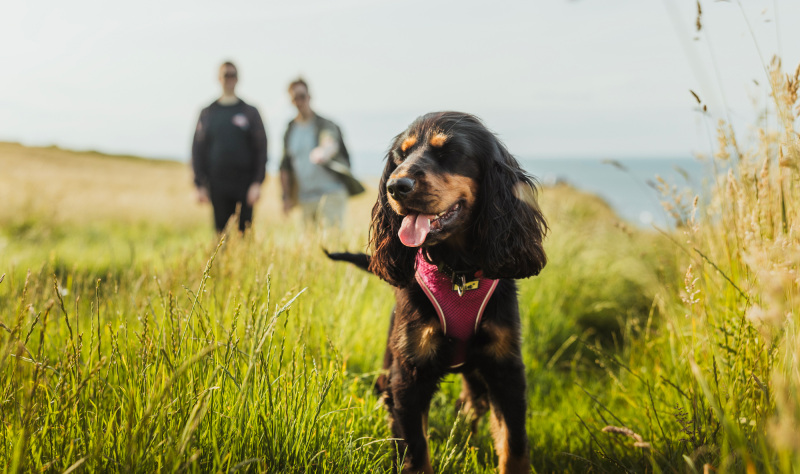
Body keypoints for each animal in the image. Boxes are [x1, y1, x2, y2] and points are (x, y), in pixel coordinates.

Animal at [324, 112, 544, 474]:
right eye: (400, 156)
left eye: (449, 152)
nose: (396, 187)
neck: (458, 276)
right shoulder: (409, 372)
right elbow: (415, 451)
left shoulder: (505, 366)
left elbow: (514, 446)